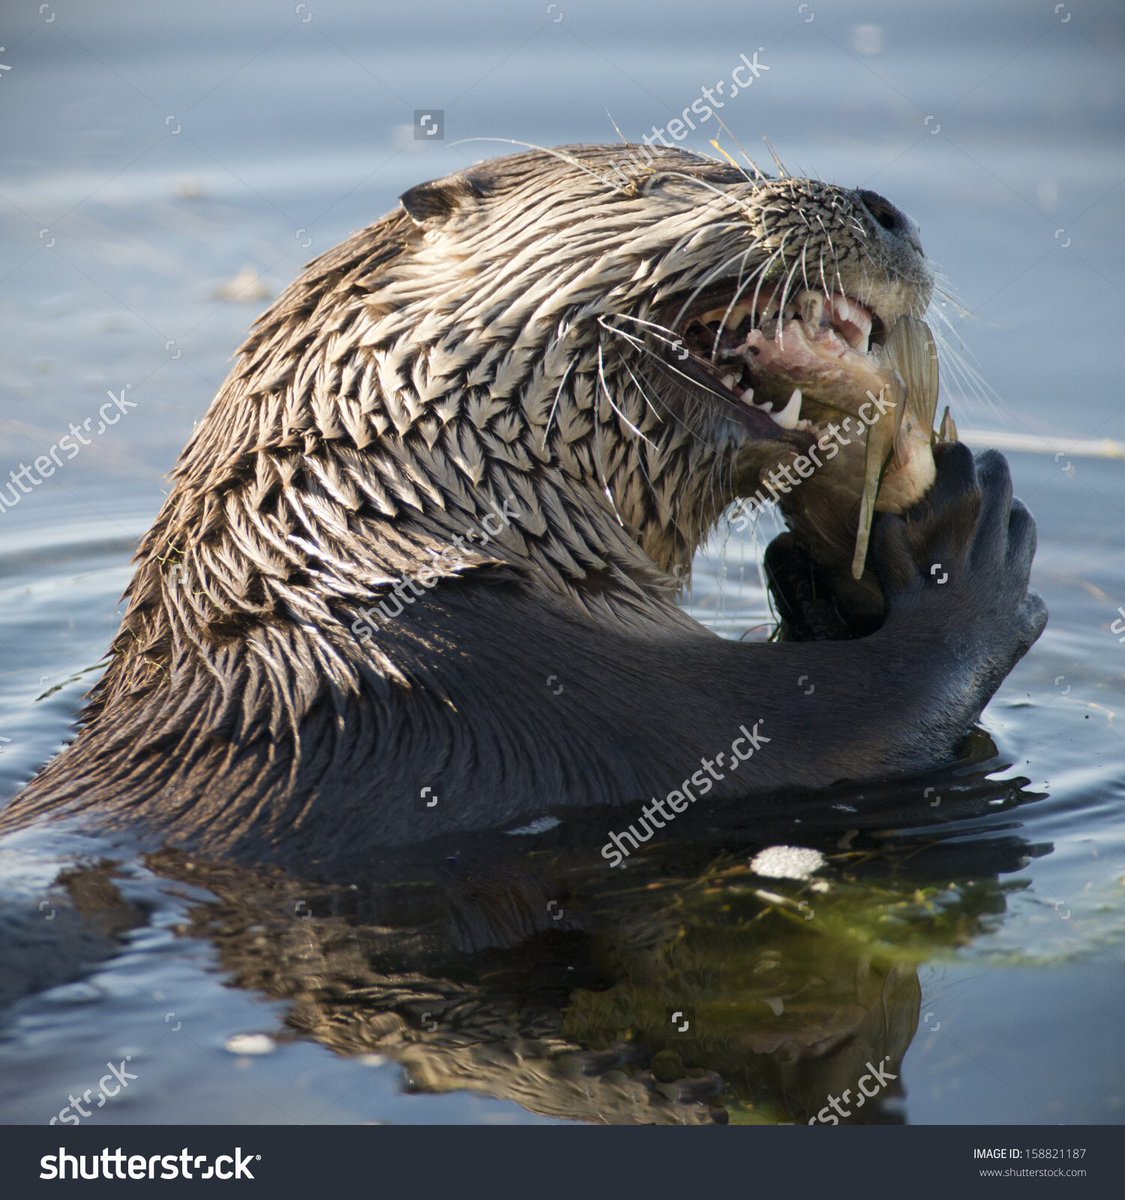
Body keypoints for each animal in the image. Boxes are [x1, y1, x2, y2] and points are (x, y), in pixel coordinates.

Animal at [3, 144, 1046, 871]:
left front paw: (820, 571)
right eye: (677, 179)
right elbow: (849, 720)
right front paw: (965, 539)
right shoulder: (543, 697)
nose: (885, 209)